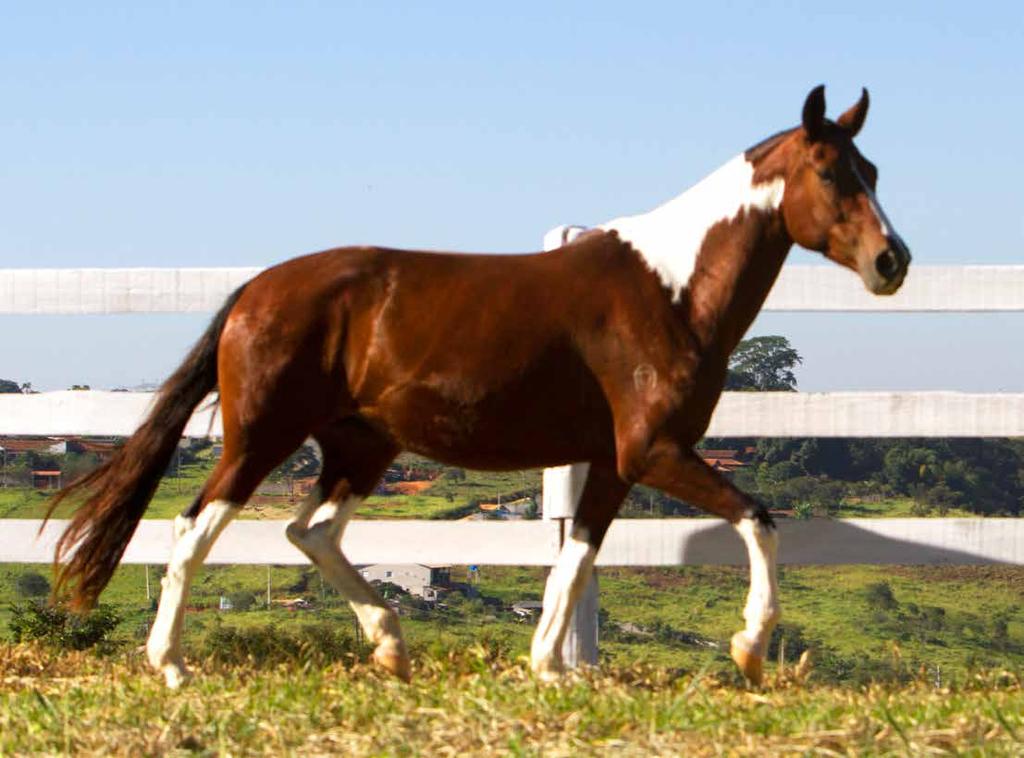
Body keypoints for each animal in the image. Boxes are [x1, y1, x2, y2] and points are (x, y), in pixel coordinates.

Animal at [48, 87, 913, 688]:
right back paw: (171, 666)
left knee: (310, 532)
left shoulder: (614, 462)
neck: (669, 291)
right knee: (193, 528)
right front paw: (751, 649)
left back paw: (390, 646)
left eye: (873, 171)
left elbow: (577, 558)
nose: (891, 261)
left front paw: (552, 669)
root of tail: (254, 291)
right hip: (262, 438)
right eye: (829, 172)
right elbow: (758, 520)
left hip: (359, 448)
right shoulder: (654, 450)